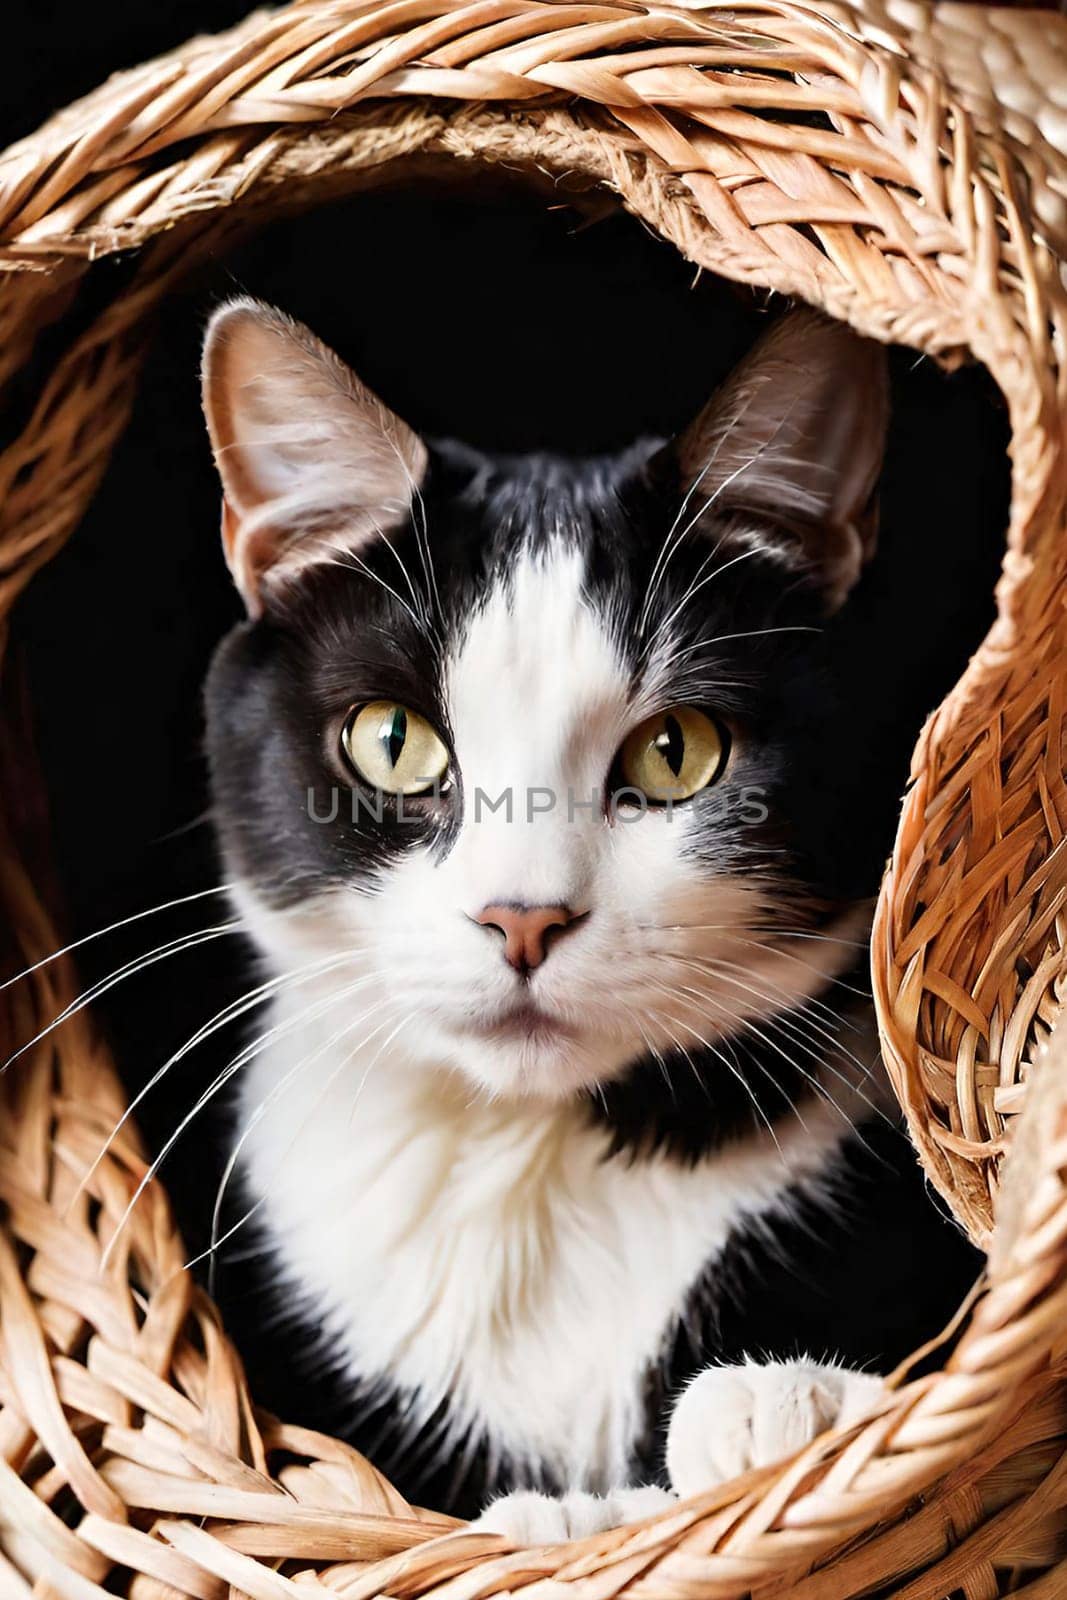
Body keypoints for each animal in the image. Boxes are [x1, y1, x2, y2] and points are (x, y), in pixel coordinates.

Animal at [195, 302, 979, 1536]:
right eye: (390, 740)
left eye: (677, 751)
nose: (522, 917)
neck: (538, 1158)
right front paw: (552, 1515)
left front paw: (775, 1402)